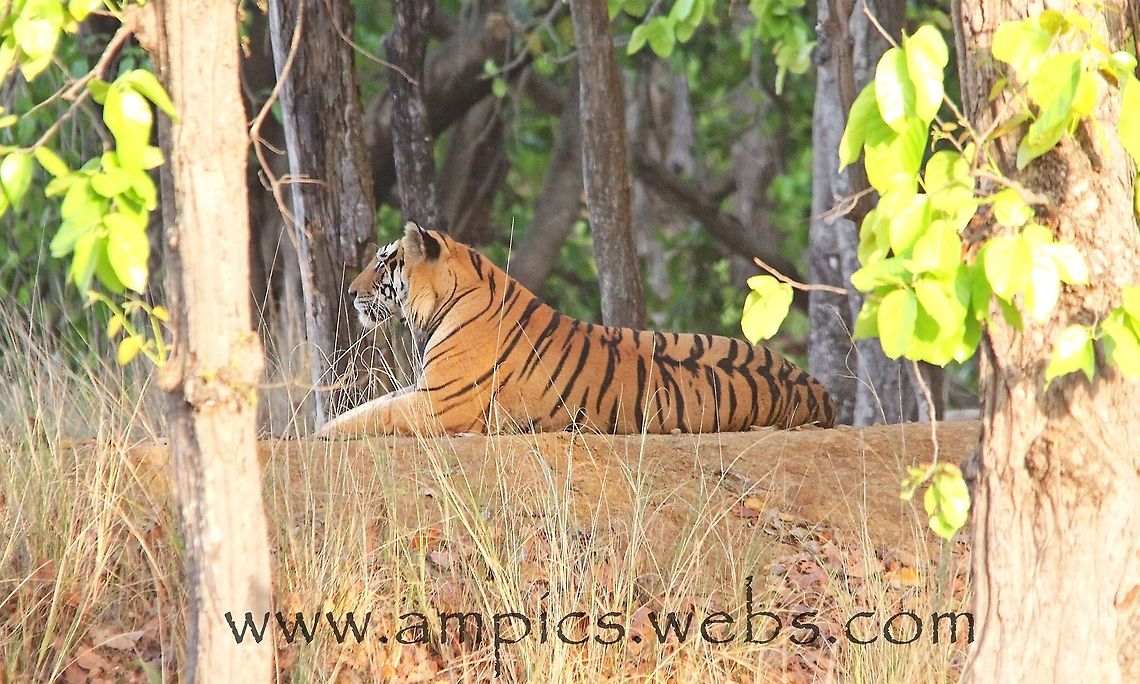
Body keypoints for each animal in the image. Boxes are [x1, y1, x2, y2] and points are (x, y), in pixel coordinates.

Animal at [317, 221, 836, 437]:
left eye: (383, 261)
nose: (349, 292)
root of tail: (820, 393)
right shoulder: (427, 390)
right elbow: (371, 406)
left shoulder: (442, 403)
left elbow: (373, 416)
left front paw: (320, 434)